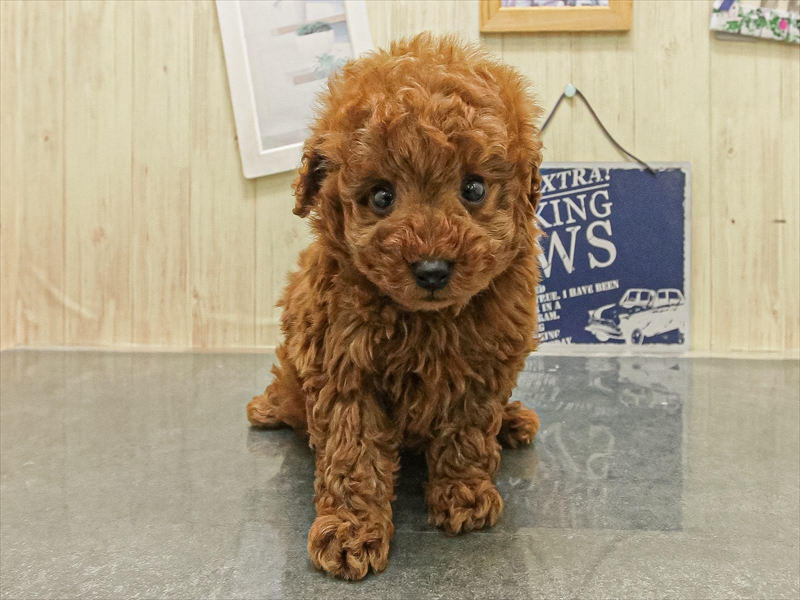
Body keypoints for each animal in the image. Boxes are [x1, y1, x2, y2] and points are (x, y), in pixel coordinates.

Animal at [247, 33, 543, 580]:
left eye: (473, 188)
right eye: (382, 197)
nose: (431, 269)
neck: (428, 320)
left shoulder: (483, 364)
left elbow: (468, 430)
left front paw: (463, 493)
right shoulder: (344, 367)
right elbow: (353, 454)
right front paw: (350, 531)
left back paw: (512, 421)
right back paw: (268, 408)